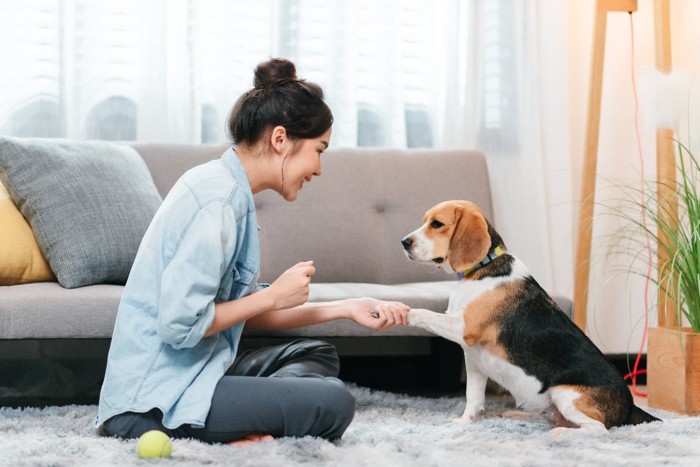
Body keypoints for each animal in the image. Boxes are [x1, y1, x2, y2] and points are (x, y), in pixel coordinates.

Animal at [402, 200, 660, 436]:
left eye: (437, 224)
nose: (404, 242)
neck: (483, 268)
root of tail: (630, 405)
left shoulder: (464, 328)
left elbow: (422, 312)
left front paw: (404, 312)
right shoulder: (473, 360)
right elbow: (473, 398)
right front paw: (465, 423)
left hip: (564, 394)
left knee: (598, 429)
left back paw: (561, 432)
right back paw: (516, 414)